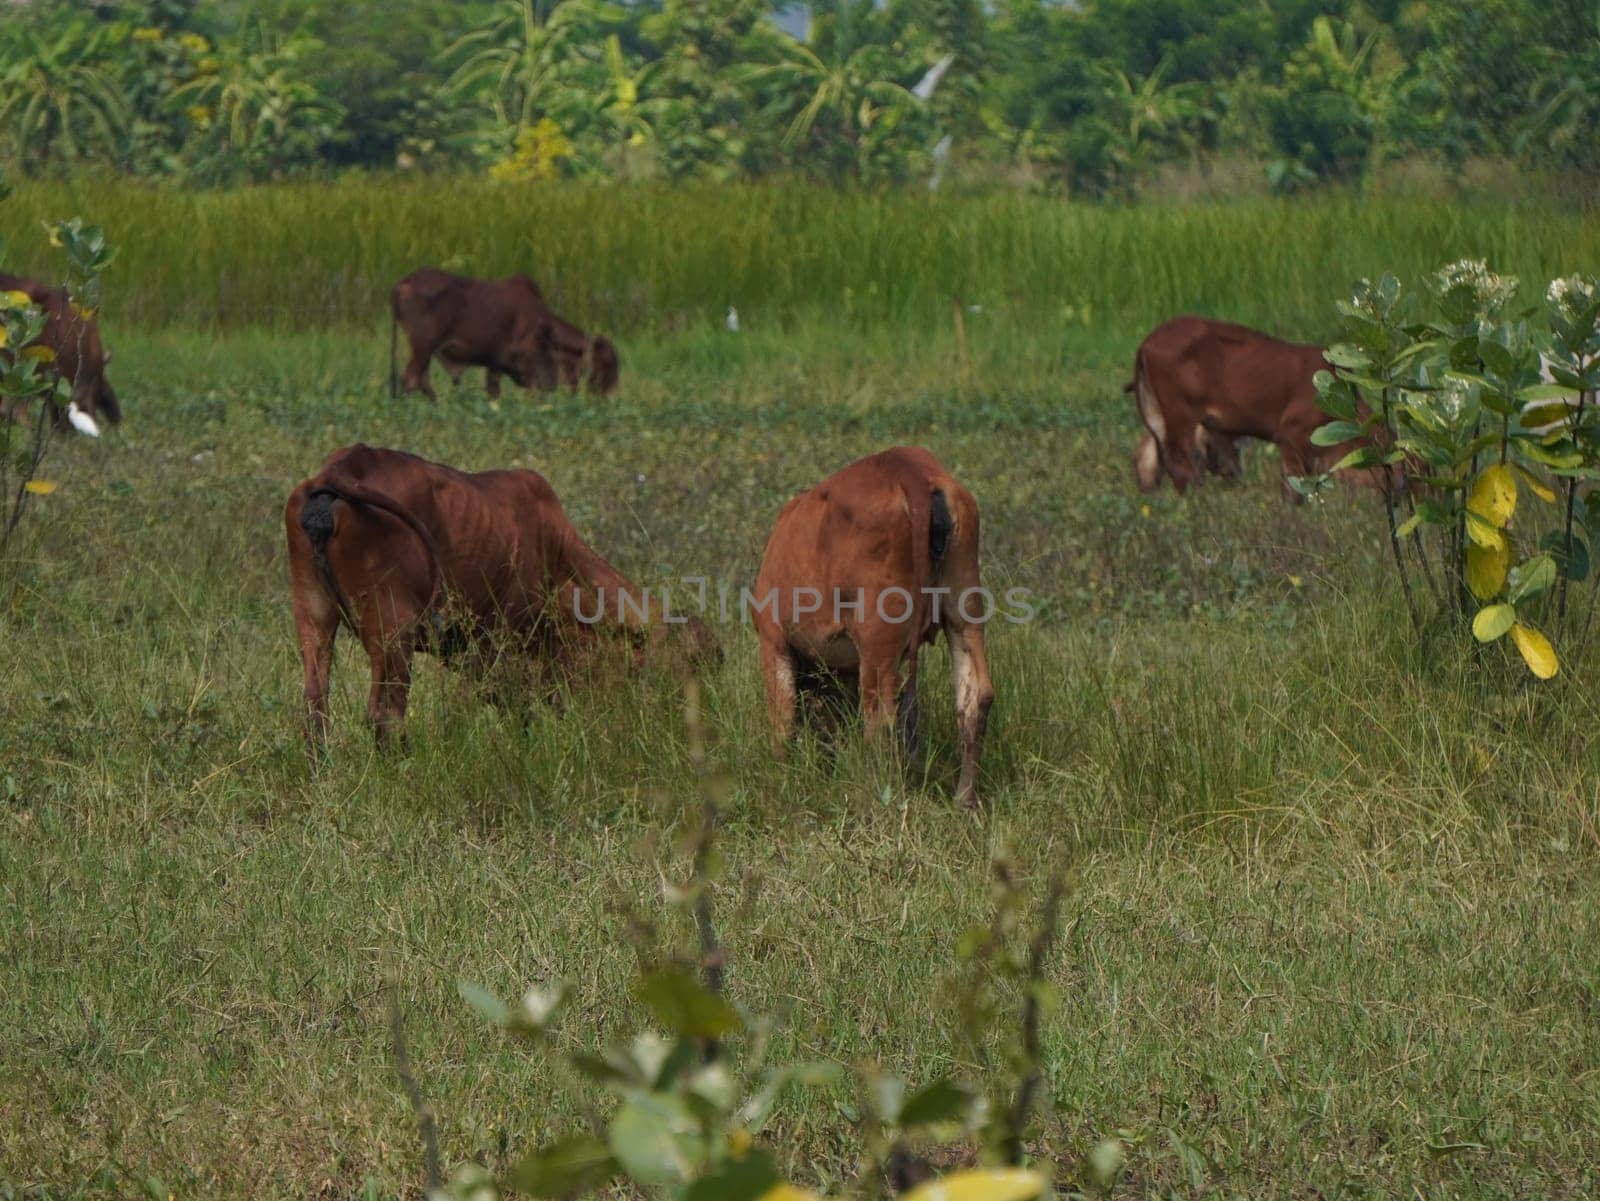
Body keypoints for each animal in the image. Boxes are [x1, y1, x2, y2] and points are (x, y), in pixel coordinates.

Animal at [284, 447, 716, 754]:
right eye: (687, 664)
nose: (697, 721)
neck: (555, 550)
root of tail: (341, 468)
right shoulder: (501, 643)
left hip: (313, 612)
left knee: (315, 707)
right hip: (392, 629)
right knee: (384, 714)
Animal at [387, 268, 617, 404]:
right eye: (606, 364)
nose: (607, 396)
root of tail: (401, 284)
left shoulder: (494, 364)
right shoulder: (521, 367)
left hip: (424, 351)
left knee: (421, 381)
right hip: (423, 347)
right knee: (411, 380)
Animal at [752, 447, 998, 809]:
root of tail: (909, 467)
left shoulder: (773, 640)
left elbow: (782, 721)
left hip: (877, 642)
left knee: (880, 717)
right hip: (964, 612)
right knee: (974, 698)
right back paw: (963, 799)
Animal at [1126, 316, 1363, 498]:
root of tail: (1145, 345)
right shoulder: (1291, 433)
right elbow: (1294, 484)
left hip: (1156, 410)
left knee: (1149, 454)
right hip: (1180, 411)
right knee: (1178, 461)